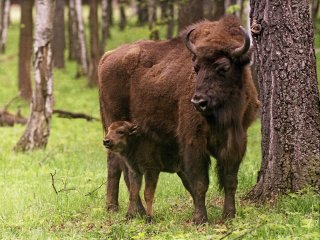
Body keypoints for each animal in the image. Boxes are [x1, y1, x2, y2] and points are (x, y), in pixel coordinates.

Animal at [99, 15, 262, 224]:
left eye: (223, 67)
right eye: (196, 68)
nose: (198, 102)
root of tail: (107, 56)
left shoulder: (237, 139)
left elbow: (230, 180)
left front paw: (229, 215)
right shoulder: (193, 140)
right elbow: (200, 182)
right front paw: (200, 218)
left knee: (119, 166)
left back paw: (123, 209)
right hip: (115, 125)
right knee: (120, 166)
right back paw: (125, 210)